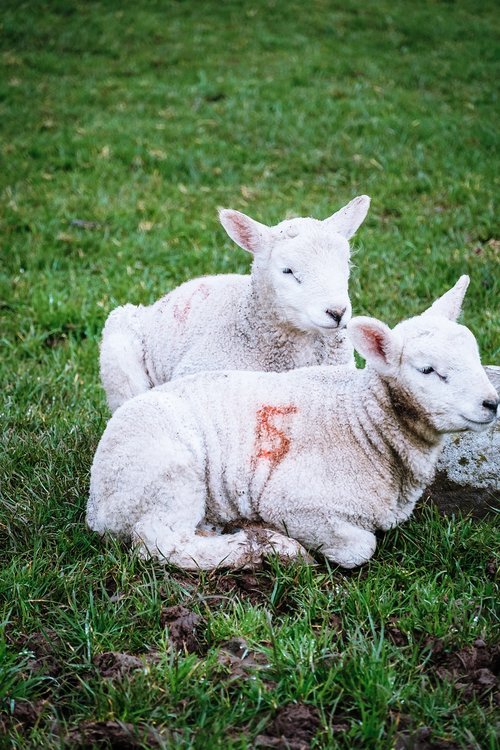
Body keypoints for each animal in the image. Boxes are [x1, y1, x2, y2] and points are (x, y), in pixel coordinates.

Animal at [88, 276, 498, 568]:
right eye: (428, 370)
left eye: (476, 355)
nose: (491, 403)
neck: (363, 422)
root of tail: (98, 507)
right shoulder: (293, 504)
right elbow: (361, 546)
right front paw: (291, 542)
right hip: (167, 471)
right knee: (160, 544)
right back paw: (257, 547)